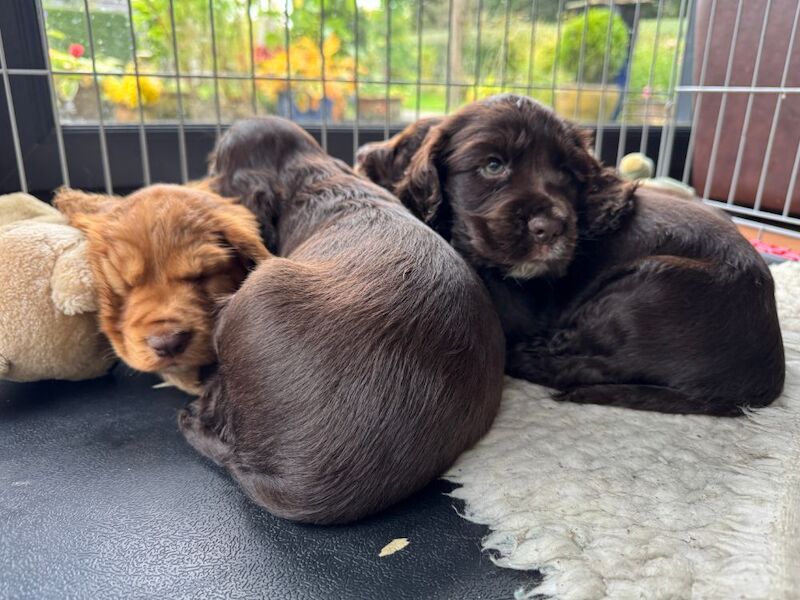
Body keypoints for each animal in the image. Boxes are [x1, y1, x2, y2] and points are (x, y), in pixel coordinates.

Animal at [360, 97, 784, 418]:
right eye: (493, 165)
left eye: (567, 173)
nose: (550, 228)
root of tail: (763, 377)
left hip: (648, 291)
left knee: (595, 366)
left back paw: (529, 357)